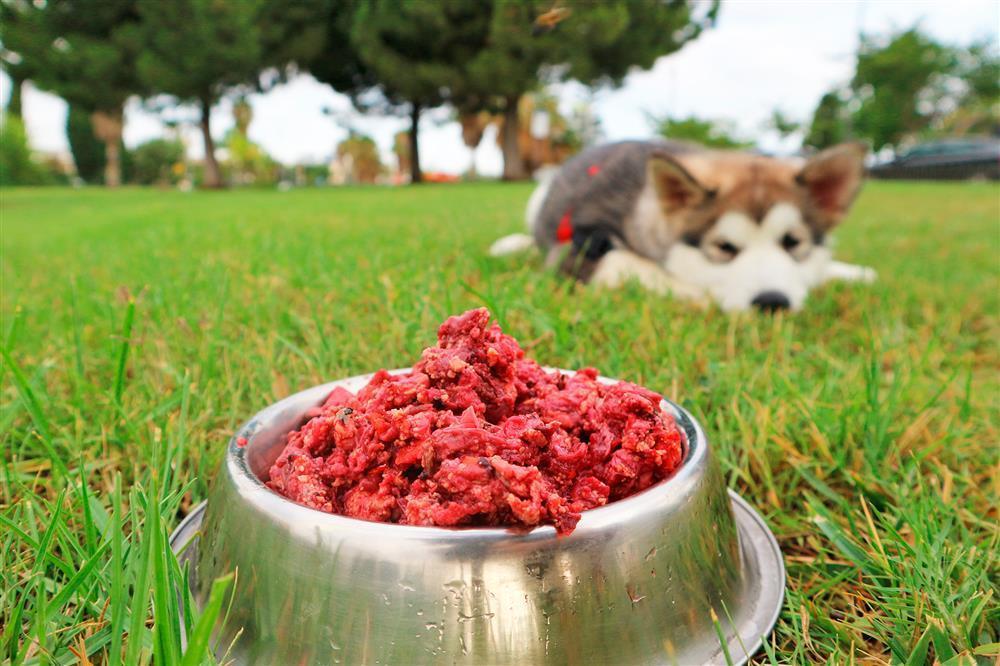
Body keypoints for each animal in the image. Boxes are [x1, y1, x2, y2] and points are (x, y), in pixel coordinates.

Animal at [490, 141, 876, 312]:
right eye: (724, 248)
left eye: (792, 242)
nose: (772, 303)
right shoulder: (581, 250)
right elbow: (633, 267)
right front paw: (702, 296)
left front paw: (849, 272)